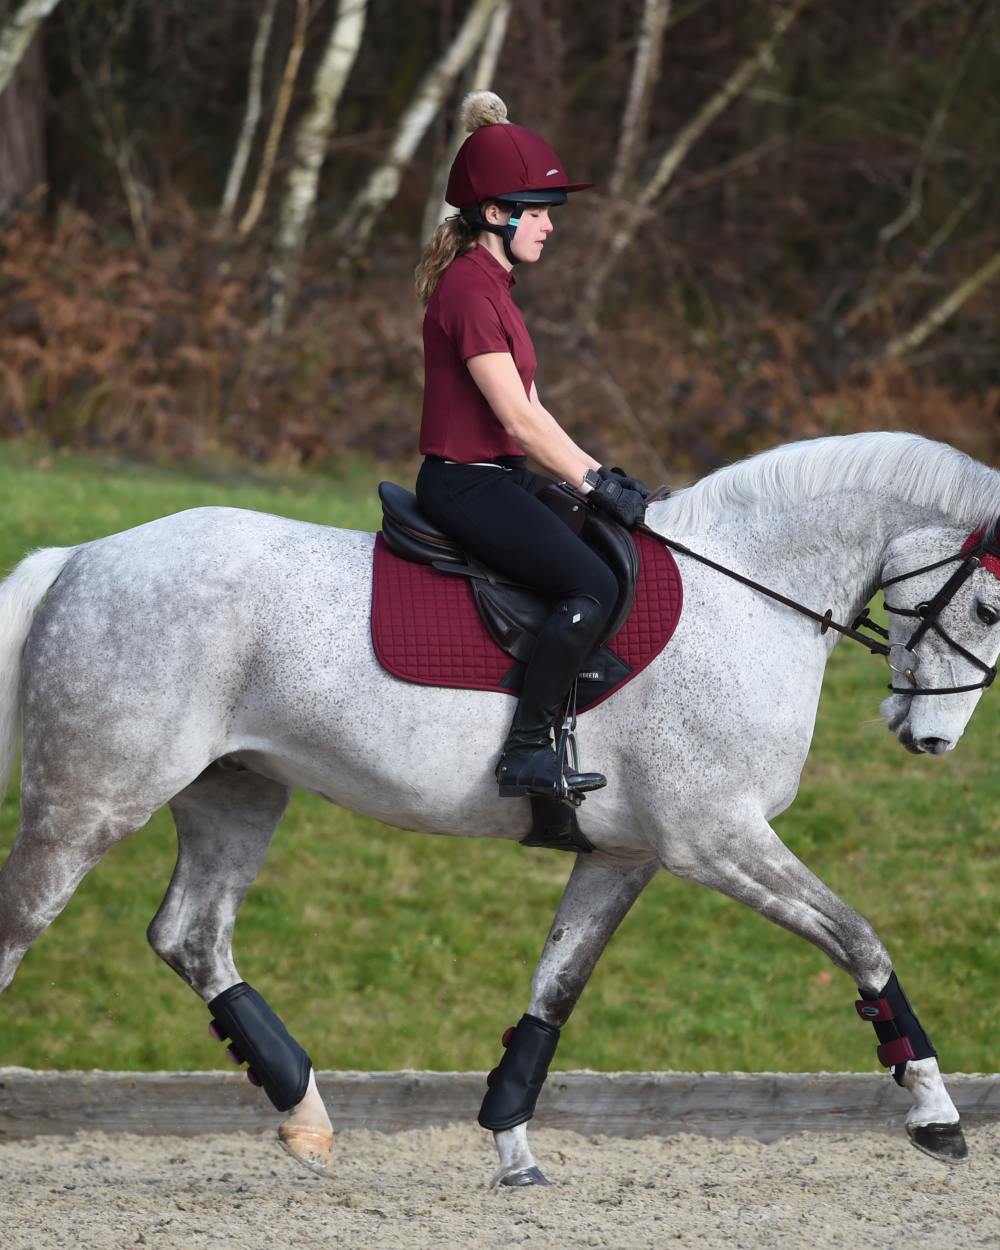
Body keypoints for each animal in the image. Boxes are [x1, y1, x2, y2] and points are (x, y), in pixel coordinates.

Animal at [1, 435, 1000, 1185]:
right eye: (991, 606)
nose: (931, 740)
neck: (748, 593)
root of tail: (78, 558)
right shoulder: (715, 837)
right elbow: (860, 940)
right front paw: (936, 1116)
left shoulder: (626, 854)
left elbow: (554, 989)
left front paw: (512, 1146)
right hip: (94, 798)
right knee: (24, 924)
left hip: (237, 789)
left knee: (191, 936)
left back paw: (307, 1116)